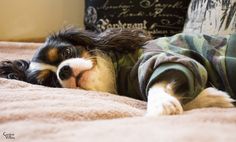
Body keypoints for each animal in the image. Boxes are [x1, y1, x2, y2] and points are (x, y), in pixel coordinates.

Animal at [0, 27, 235, 116]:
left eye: (66, 51)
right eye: (51, 82)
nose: (64, 71)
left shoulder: (164, 56)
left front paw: (160, 103)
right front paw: (212, 97)